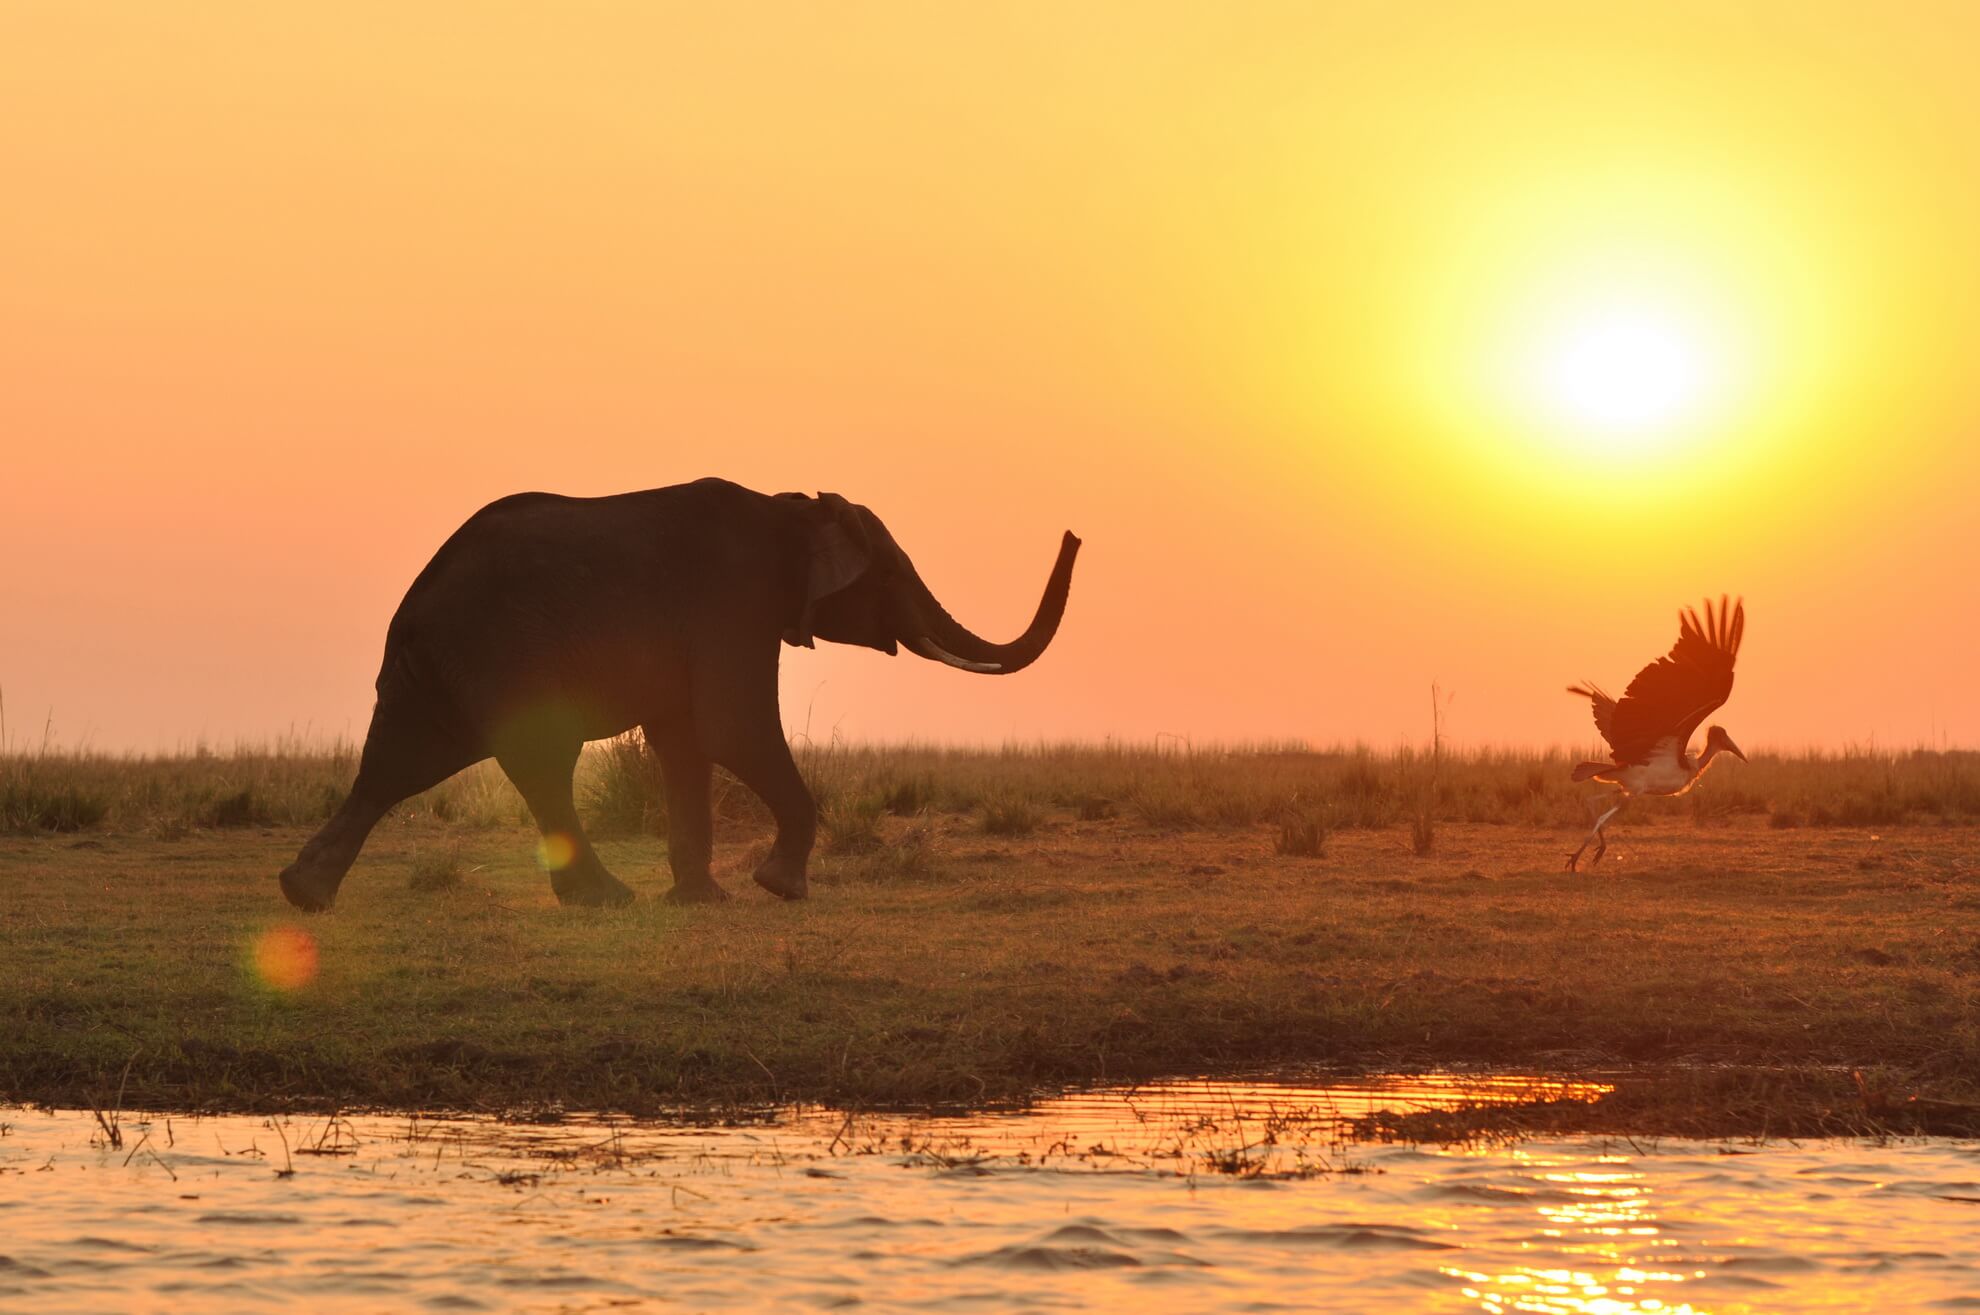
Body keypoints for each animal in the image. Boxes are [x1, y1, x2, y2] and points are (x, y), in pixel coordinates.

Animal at [278, 478, 1080, 910]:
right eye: (888, 576)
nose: (1074, 534)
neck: (791, 507)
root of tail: (415, 602)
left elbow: (687, 742)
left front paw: (704, 900)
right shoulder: (735, 600)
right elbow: (734, 729)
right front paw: (780, 889)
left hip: (436, 668)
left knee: (396, 766)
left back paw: (304, 894)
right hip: (494, 652)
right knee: (539, 763)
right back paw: (605, 900)